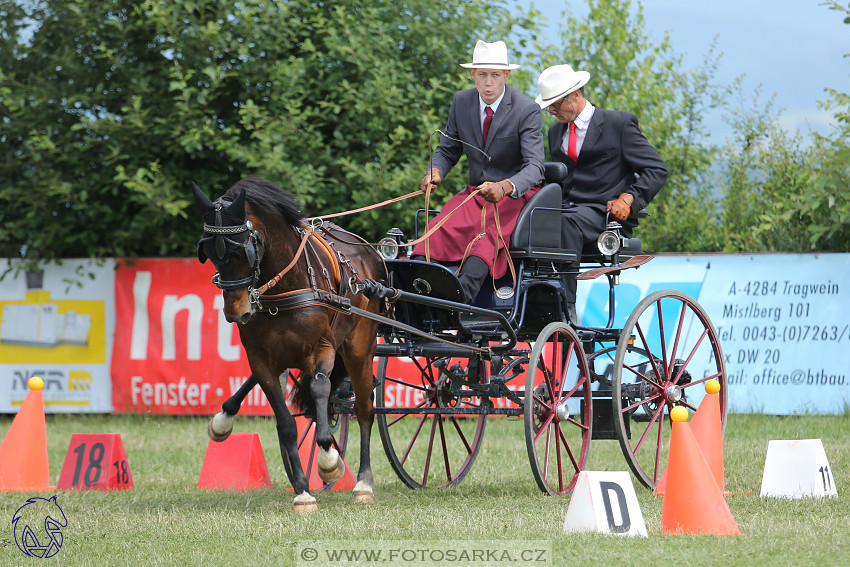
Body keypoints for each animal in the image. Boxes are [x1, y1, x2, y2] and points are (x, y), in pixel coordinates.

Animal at [192, 176, 380, 510]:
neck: (284, 288)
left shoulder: (323, 348)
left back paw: (362, 483)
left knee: (363, 409)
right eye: (209, 252)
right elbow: (285, 422)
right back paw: (225, 416)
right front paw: (303, 491)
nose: (235, 312)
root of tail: (369, 251)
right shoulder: (260, 358)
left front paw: (328, 459)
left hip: (358, 350)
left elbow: (321, 389)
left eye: (243, 251)